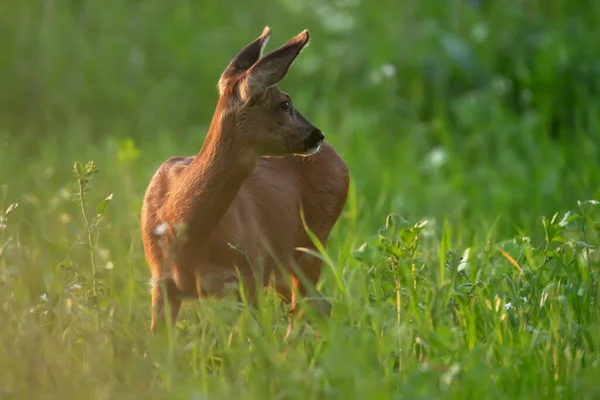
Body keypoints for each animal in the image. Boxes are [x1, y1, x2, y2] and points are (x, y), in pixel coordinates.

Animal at [140, 26, 350, 336]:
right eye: (285, 103)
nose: (317, 135)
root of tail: (340, 161)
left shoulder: (248, 274)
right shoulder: (161, 284)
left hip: (310, 244)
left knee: (309, 307)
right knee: (317, 306)